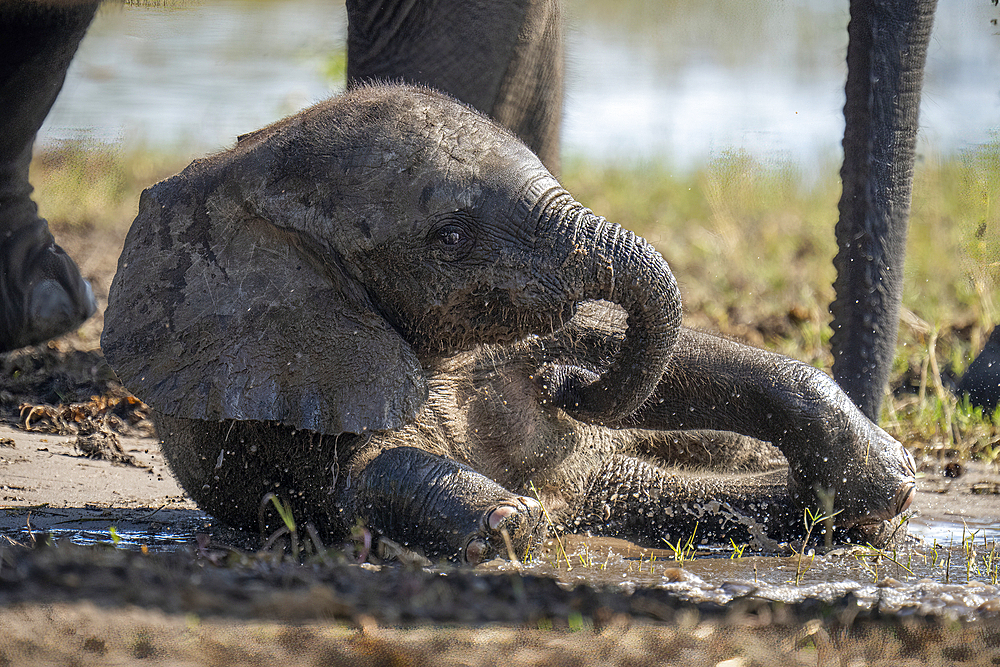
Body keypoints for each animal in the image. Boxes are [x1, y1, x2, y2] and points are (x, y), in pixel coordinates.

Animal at [101, 82, 916, 564]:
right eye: (451, 237)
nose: (567, 386)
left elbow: (651, 351)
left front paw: (886, 474)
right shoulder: (293, 382)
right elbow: (360, 477)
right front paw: (513, 519)